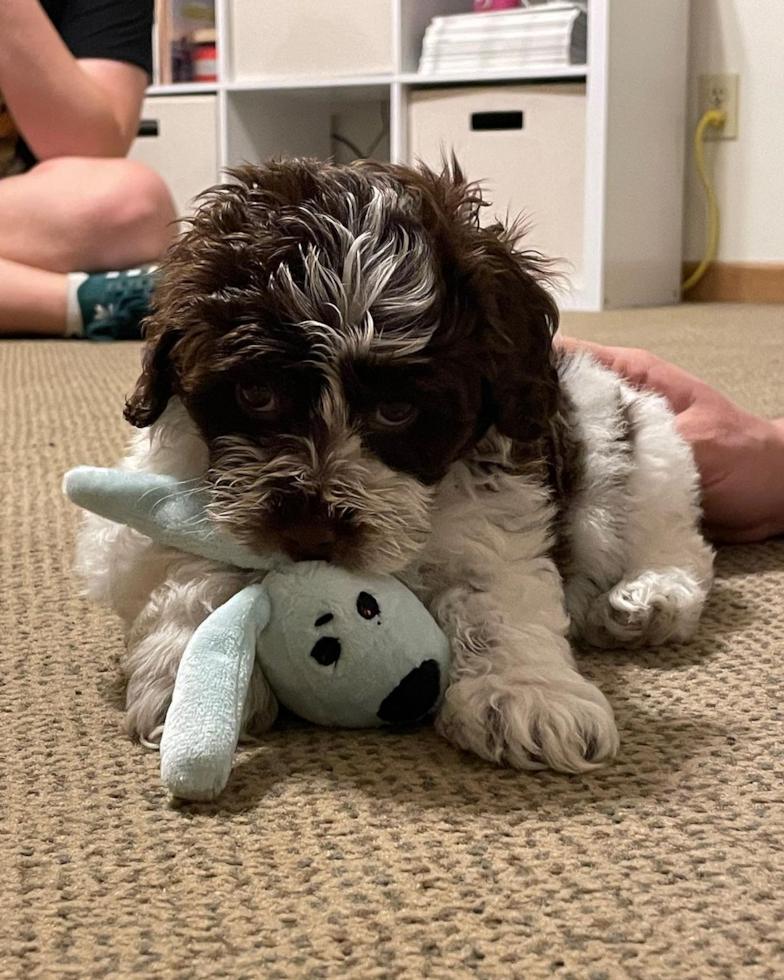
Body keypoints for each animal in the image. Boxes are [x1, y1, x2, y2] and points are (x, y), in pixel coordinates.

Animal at [76, 159, 712, 772]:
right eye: (256, 394)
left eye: (397, 410)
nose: (309, 532)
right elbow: (187, 566)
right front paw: (183, 679)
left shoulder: (497, 513)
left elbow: (496, 593)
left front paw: (527, 692)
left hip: (637, 447)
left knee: (677, 544)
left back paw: (650, 600)